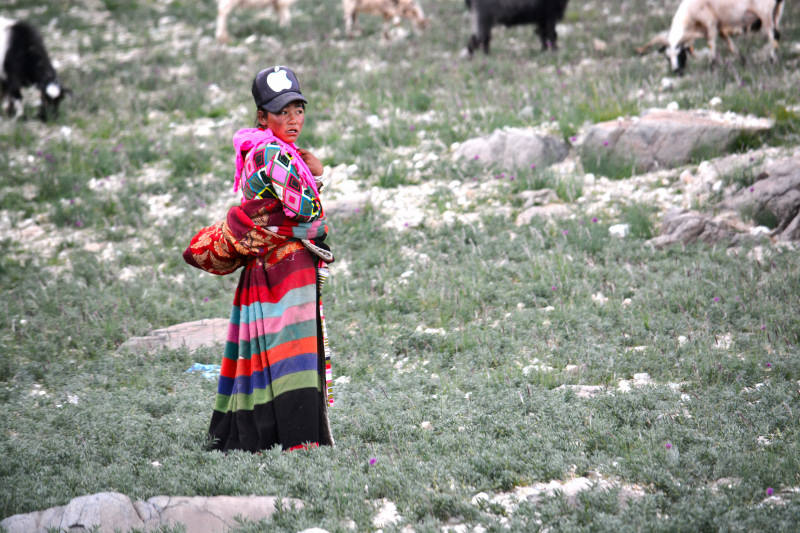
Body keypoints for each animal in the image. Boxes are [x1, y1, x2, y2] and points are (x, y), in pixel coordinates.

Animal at [636, 0, 788, 72]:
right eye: (667, 57)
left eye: (681, 54)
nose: (676, 71)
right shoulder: (720, 28)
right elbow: (730, 46)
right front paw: (743, 61)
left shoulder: (711, 24)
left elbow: (711, 45)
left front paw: (712, 66)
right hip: (776, 12)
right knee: (776, 36)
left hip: (765, 13)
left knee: (773, 36)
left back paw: (773, 61)